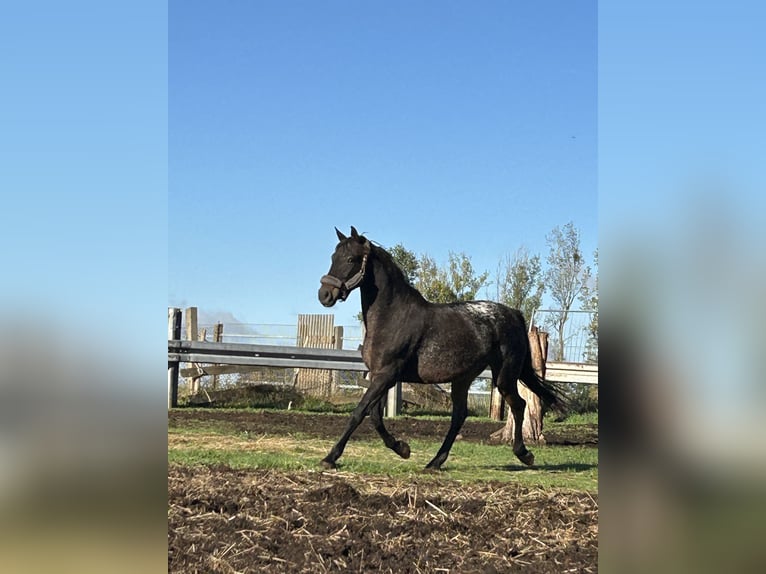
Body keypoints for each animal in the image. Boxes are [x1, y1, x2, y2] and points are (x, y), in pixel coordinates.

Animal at [317, 226, 564, 471]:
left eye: (351, 259)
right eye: (332, 257)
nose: (325, 295)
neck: (392, 317)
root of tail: (514, 314)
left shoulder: (386, 375)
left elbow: (359, 412)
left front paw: (330, 457)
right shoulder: (379, 376)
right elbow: (375, 416)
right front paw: (402, 448)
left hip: (504, 376)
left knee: (518, 405)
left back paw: (524, 454)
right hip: (463, 378)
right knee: (459, 416)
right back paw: (435, 462)